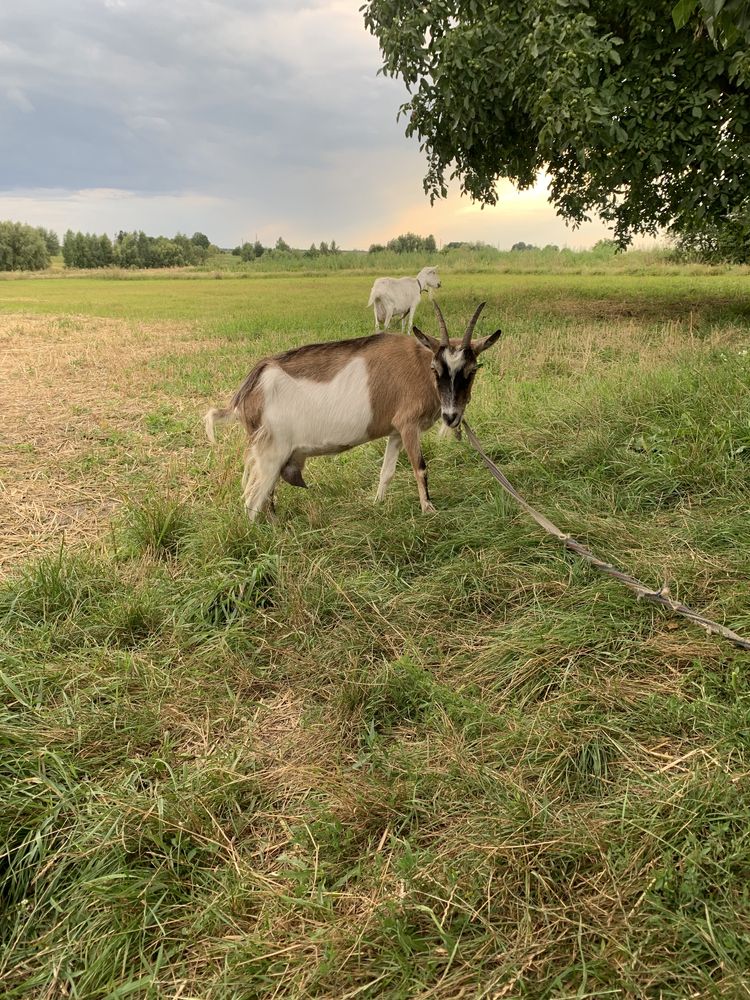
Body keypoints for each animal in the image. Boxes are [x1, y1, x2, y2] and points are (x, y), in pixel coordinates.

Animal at [204, 300, 506, 520]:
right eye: (436, 369)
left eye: (471, 371)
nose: (451, 416)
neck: (418, 365)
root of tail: (248, 389)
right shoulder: (408, 425)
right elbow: (420, 467)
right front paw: (428, 510)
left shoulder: (396, 431)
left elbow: (387, 472)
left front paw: (377, 504)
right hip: (270, 453)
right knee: (252, 500)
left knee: (263, 497)